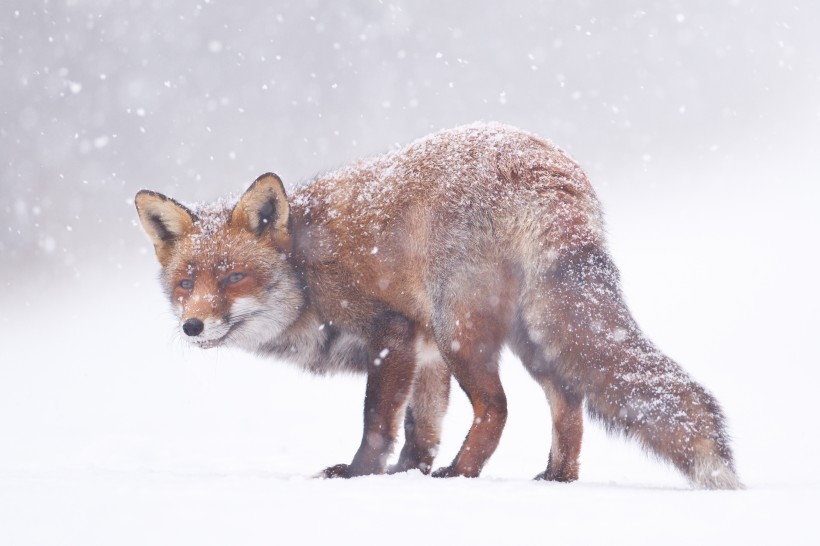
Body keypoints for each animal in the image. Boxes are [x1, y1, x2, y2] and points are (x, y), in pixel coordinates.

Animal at [136, 121, 744, 486]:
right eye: (185, 282)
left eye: (234, 277)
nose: (193, 325)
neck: (306, 269)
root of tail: (546, 168)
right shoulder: (424, 353)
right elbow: (420, 428)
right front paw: (410, 475)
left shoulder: (395, 332)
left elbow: (378, 422)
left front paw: (360, 475)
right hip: (530, 336)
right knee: (568, 404)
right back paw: (555, 478)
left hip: (462, 329)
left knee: (498, 408)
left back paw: (462, 475)